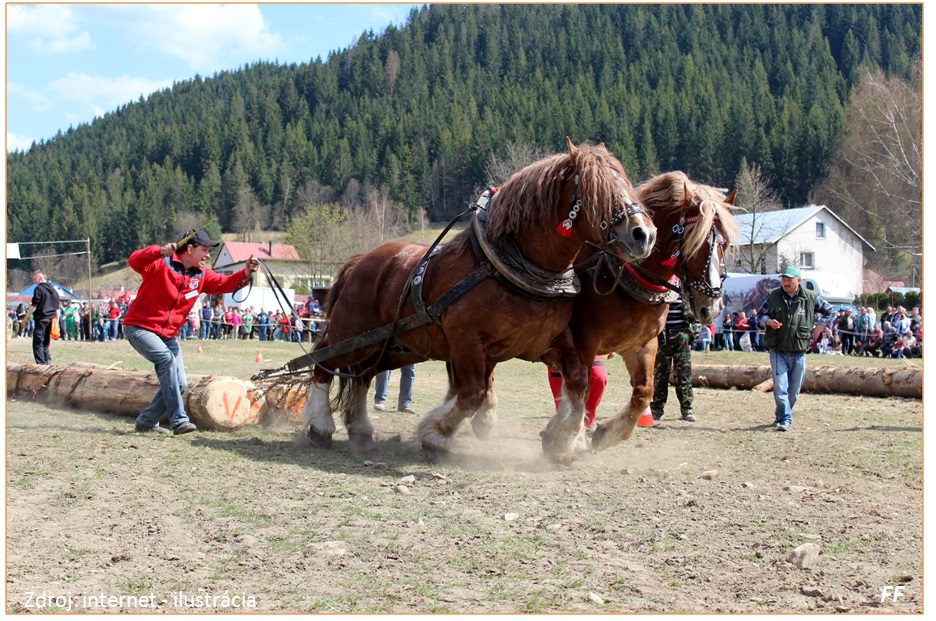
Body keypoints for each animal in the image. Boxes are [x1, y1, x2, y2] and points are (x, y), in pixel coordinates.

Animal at [304, 140, 656, 460]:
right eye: (599, 189)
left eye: (626, 182)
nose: (644, 234)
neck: (507, 267)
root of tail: (360, 260)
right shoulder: (467, 341)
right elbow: (472, 393)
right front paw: (436, 436)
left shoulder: (555, 341)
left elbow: (579, 382)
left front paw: (562, 439)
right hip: (353, 333)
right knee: (322, 360)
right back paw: (320, 426)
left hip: (390, 346)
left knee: (363, 375)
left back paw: (360, 429)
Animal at [536, 171, 744, 456]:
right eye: (696, 243)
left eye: (725, 244)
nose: (712, 307)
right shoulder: (583, 343)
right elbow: (580, 387)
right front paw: (563, 436)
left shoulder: (642, 344)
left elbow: (644, 391)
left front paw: (606, 432)